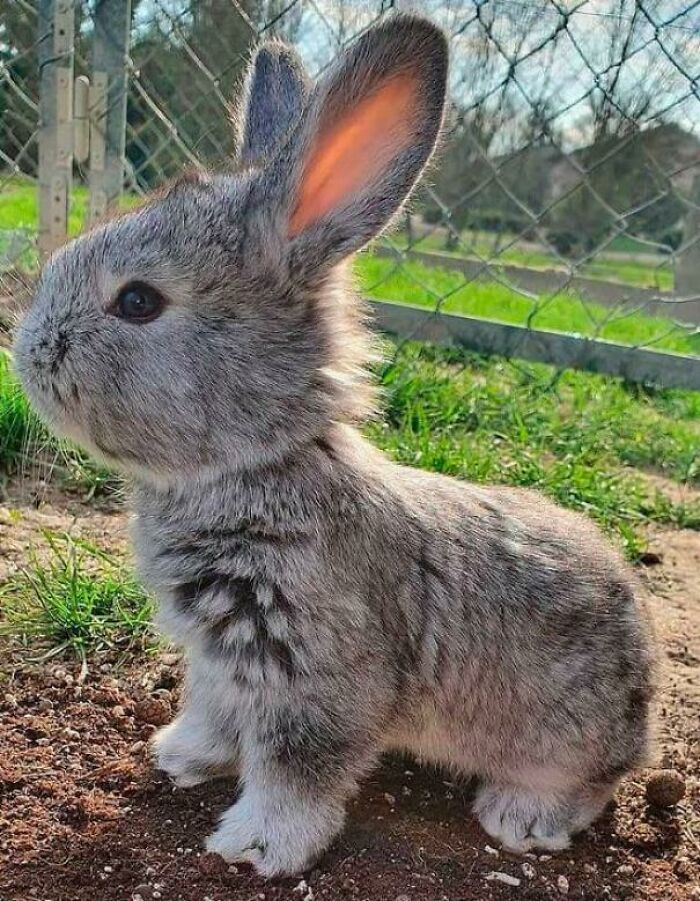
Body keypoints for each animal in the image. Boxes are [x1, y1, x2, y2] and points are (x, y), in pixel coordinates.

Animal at [13, 14, 656, 879]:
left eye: (139, 301)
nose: (27, 353)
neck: (259, 462)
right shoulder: (220, 663)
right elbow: (213, 713)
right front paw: (178, 755)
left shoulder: (314, 673)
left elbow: (296, 766)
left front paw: (256, 845)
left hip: (565, 732)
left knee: (589, 782)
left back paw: (520, 814)